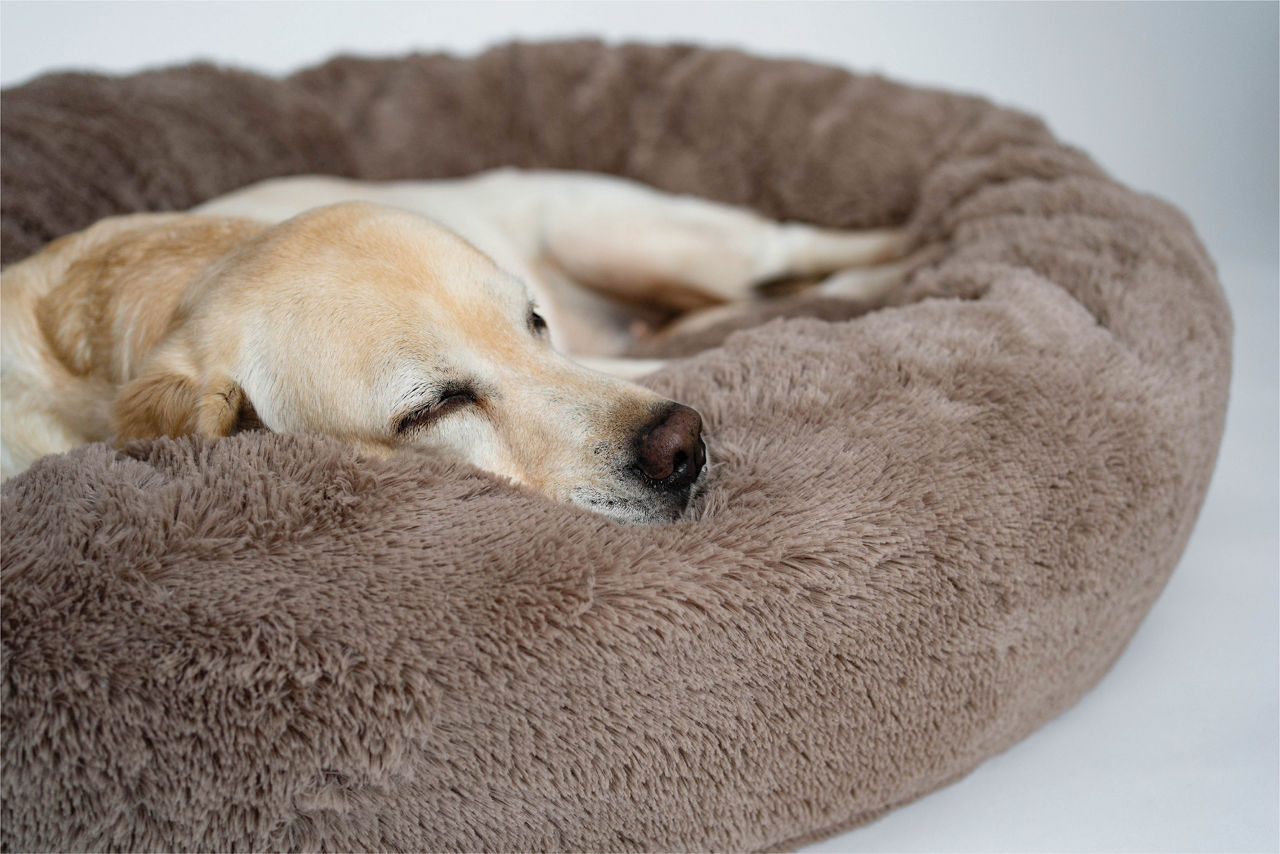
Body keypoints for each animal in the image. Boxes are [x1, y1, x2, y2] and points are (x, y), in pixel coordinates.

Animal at [0, 170, 906, 524]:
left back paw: (902, 254)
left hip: (640, 237)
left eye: (532, 321)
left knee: (804, 250)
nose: (683, 446)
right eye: (433, 407)